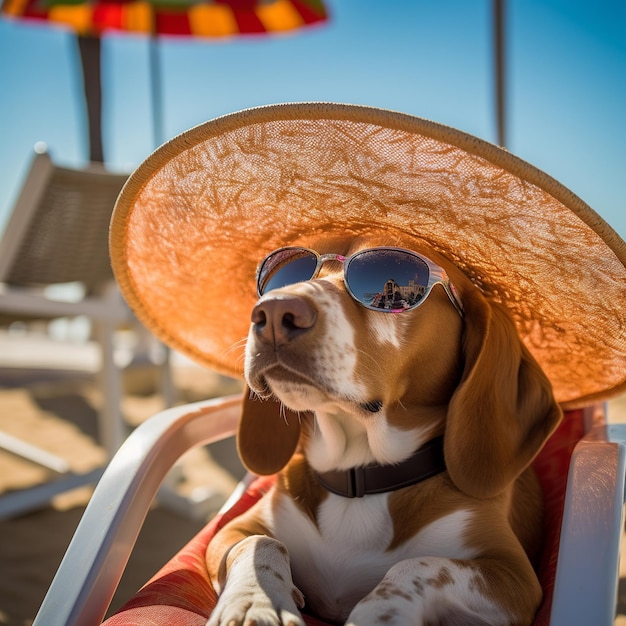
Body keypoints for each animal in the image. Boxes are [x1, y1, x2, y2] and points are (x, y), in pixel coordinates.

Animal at [206, 236, 560, 620]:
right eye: (284, 275)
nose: (272, 311)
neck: (359, 475)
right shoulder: (233, 531)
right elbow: (260, 543)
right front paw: (254, 603)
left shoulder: (514, 577)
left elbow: (417, 566)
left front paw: (377, 614)